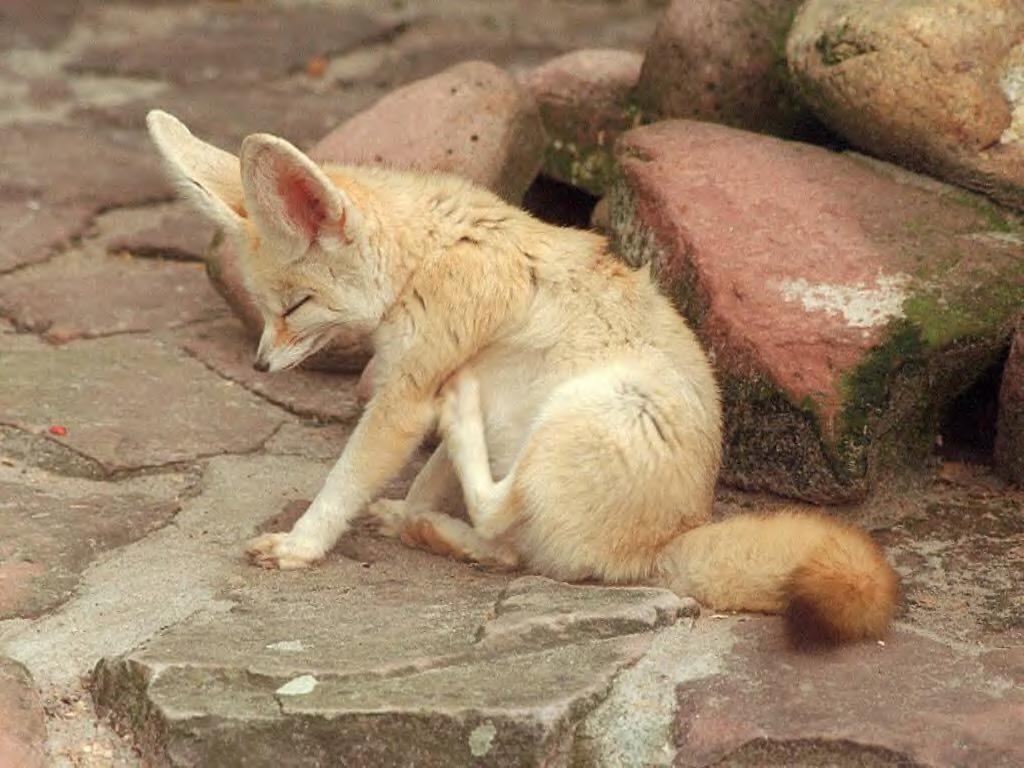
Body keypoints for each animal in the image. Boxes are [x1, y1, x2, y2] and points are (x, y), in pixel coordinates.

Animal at [146, 109, 899, 646]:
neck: (426, 256)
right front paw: (407, 509)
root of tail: (663, 547)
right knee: (512, 550)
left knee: (504, 518)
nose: (260, 365)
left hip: (590, 407)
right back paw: (426, 526)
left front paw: (303, 546)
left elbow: (347, 480)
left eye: (296, 307)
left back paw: (453, 452)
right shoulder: (422, 380)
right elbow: (428, 478)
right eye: (267, 309)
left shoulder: (406, 395)